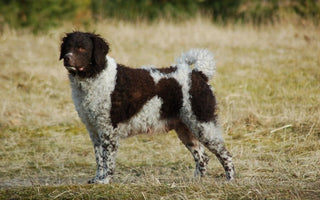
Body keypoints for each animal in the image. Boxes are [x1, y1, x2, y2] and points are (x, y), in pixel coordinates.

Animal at [60, 31, 235, 184]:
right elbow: (99, 159)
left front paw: (105, 181)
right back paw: (196, 181)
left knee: (226, 155)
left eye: (82, 48)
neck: (96, 76)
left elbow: (108, 160)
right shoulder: (94, 131)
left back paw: (230, 180)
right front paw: (98, 179)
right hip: (186, 130)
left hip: (203, 126)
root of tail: (198, 74)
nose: (67, 58)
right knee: (203, 158)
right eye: (68, 47)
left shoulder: (108, 130)